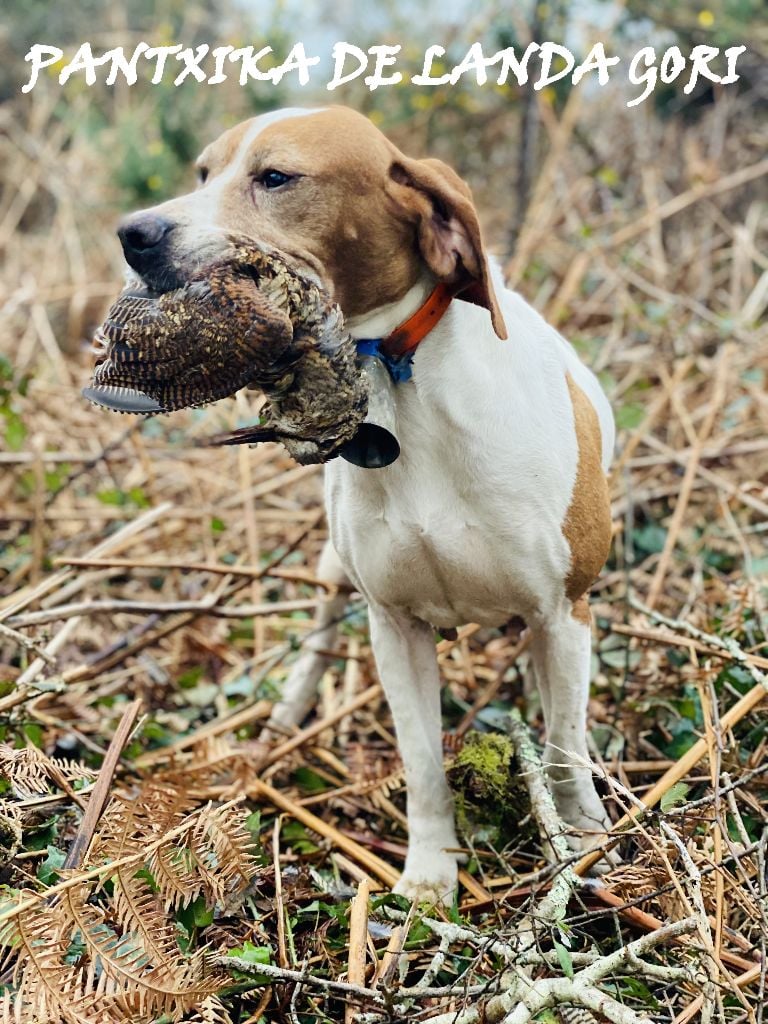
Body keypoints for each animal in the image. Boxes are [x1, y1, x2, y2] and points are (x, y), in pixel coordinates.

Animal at [117, 103, 618, 905]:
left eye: (276, 177)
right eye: (202, 173)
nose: (134, 234)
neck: (403, 383)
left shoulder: (564, 613)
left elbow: (565, 745)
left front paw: (586, 839)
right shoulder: (396, 628)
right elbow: (421, 763)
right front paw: (430, 873)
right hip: (332, 568)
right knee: (321, 634)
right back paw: (289, 710)